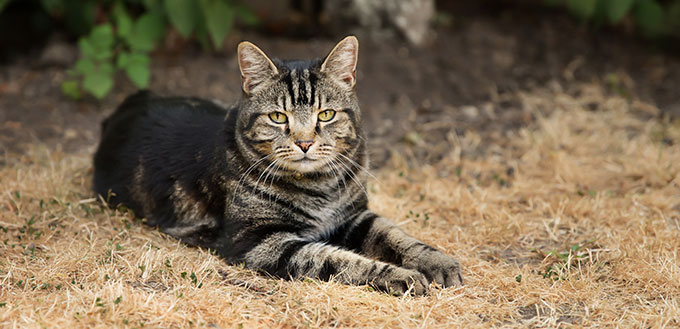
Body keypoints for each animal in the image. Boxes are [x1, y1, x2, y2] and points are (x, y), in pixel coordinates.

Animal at [94, 36, 462, 294]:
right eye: (278, 117)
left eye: (326, 114)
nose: (304, 142)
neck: (319, 184)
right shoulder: (260, 242)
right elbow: (336, 259)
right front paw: (401, 275)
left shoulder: (354, 216)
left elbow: (397, 235)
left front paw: (437, 261)